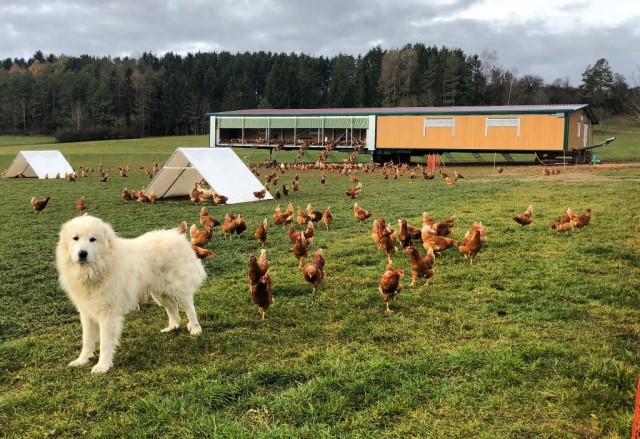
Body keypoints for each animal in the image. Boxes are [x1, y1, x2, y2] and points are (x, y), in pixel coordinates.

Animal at [55, 215, 206, 372]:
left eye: (93, 239)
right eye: (75, 238)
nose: (82, 253)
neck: (97, 269)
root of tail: (180, 239)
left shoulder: (108, 315)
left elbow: (105, 343)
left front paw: (102, 366)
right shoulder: (87, 312)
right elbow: (87, 340)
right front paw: (82, 360)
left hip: (178, 291)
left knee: (190, 309)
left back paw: (195, 329)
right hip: (160, 293)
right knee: (172, 309)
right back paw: (172, 327)